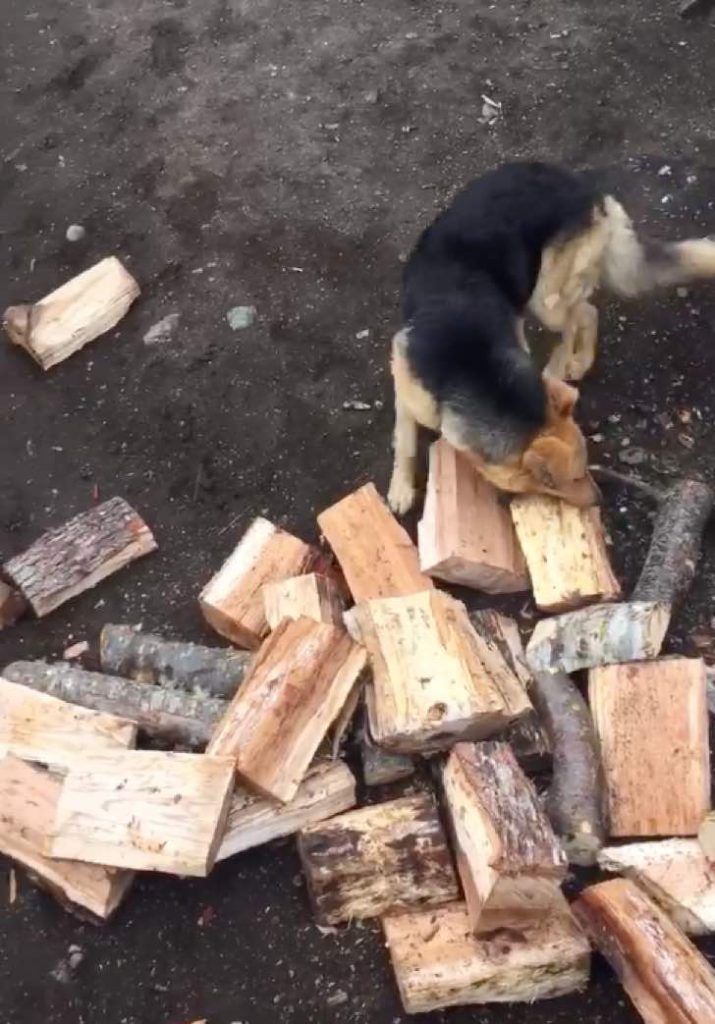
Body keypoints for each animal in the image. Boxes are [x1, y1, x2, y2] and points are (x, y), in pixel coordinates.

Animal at [387, 161, 715, 514]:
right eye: (565, 479)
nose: (600, 501)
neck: (472, 367)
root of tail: (590, 191)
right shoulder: (407, 386)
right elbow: (404, 441)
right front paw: (401, 487)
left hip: (547, 299)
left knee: (579, 315)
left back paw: (567, 363)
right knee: (586, 311)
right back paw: (578, 361)